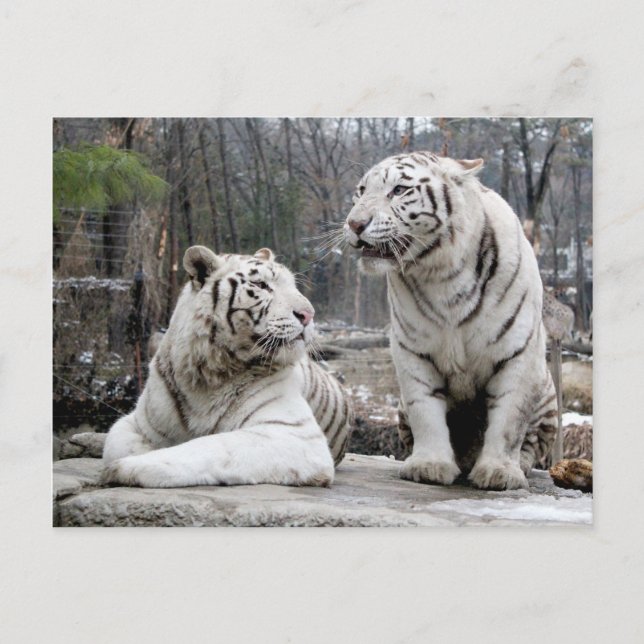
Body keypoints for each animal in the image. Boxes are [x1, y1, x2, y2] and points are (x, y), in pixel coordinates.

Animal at [101, 245, 352, 488]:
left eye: (293, 286)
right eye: (261, 285)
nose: (309, 315)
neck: (206, 375)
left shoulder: (294, 433)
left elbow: (210, 446)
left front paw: (127, 468)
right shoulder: (137, 423)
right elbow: (114, 445)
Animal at [344, 151, 557, 490]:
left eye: (399, 190)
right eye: (361, 191)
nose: (354, 223)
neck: (440, 273)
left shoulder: (519, 351)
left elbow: (510, 419)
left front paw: (499, 472)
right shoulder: (412, 350)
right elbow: (425, 411)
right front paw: (429, 465)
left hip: (547, 390)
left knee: (532, 444)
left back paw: (518, 466)